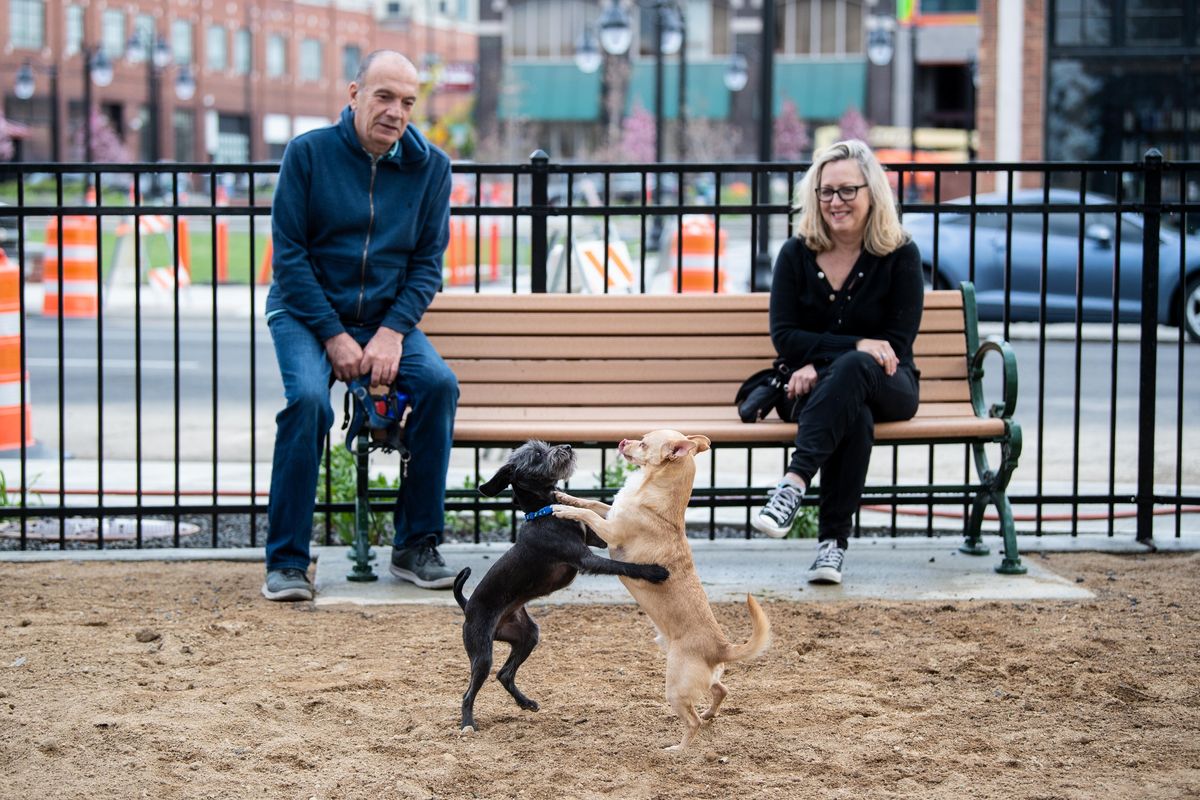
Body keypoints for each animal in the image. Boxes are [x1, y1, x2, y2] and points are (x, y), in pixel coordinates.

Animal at [453, 441, 672, 734]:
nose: (566, 446)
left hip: (528, 635)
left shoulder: (596, 540)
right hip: (481, 651)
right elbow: (624, 566)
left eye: (544, 446)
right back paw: (468, 723)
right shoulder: (586, 559)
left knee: (504, 674)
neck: (542, 512)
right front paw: (654, 571)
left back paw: (526, 703)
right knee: (470, 691)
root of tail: (467, 606)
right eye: (537, 455)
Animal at [552, 431, 768, 753]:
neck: (648, 492)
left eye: (642, 443)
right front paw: (564, 496)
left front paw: (563, 509)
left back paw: (678, 749)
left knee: (692, 721)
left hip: (675, 688)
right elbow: (591, 502)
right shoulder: (610, 513)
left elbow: (587, 514)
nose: (622, 441)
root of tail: (722, 647)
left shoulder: (610, 531)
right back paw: (709, 714)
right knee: (720, 690)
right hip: (701, 680)